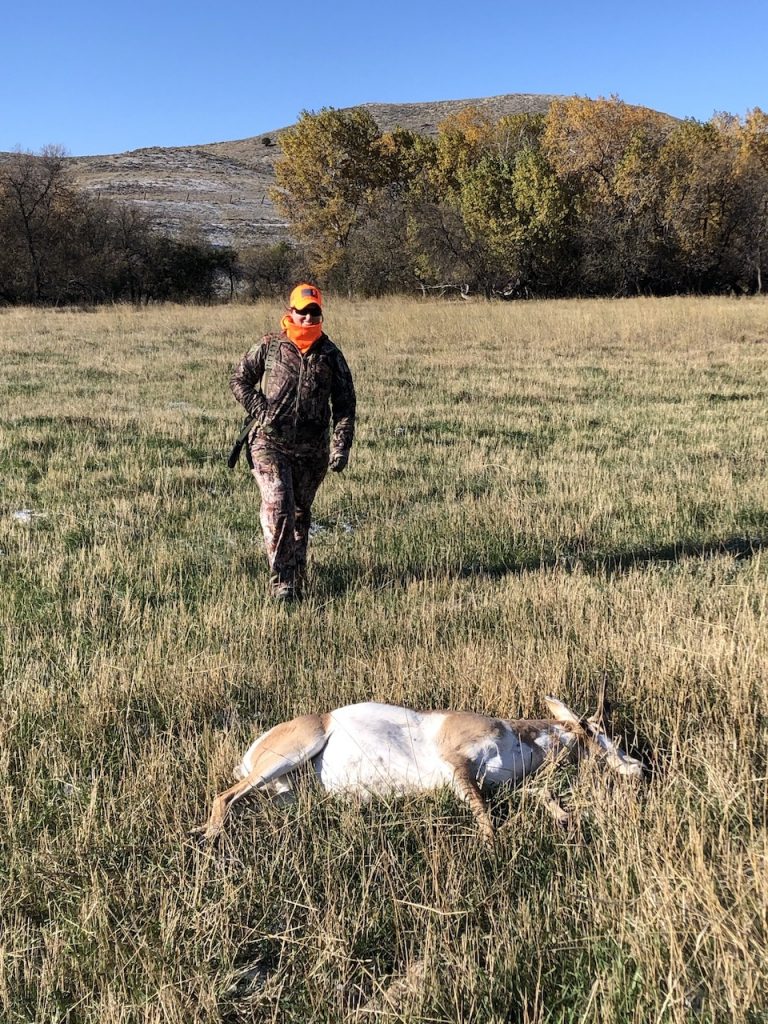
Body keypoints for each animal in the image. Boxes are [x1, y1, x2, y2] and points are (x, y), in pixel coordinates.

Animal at [202, 700, 643, 843]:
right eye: (600, 733)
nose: (638, 767)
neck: (515, 738)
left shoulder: (499, 785)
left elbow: (538, 793)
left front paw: (565, 817)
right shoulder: (457, 765)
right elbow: (485, 815)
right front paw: (492, 845)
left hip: (289, 795)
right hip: (292, 752)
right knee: (225, 795)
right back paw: (210, 836)